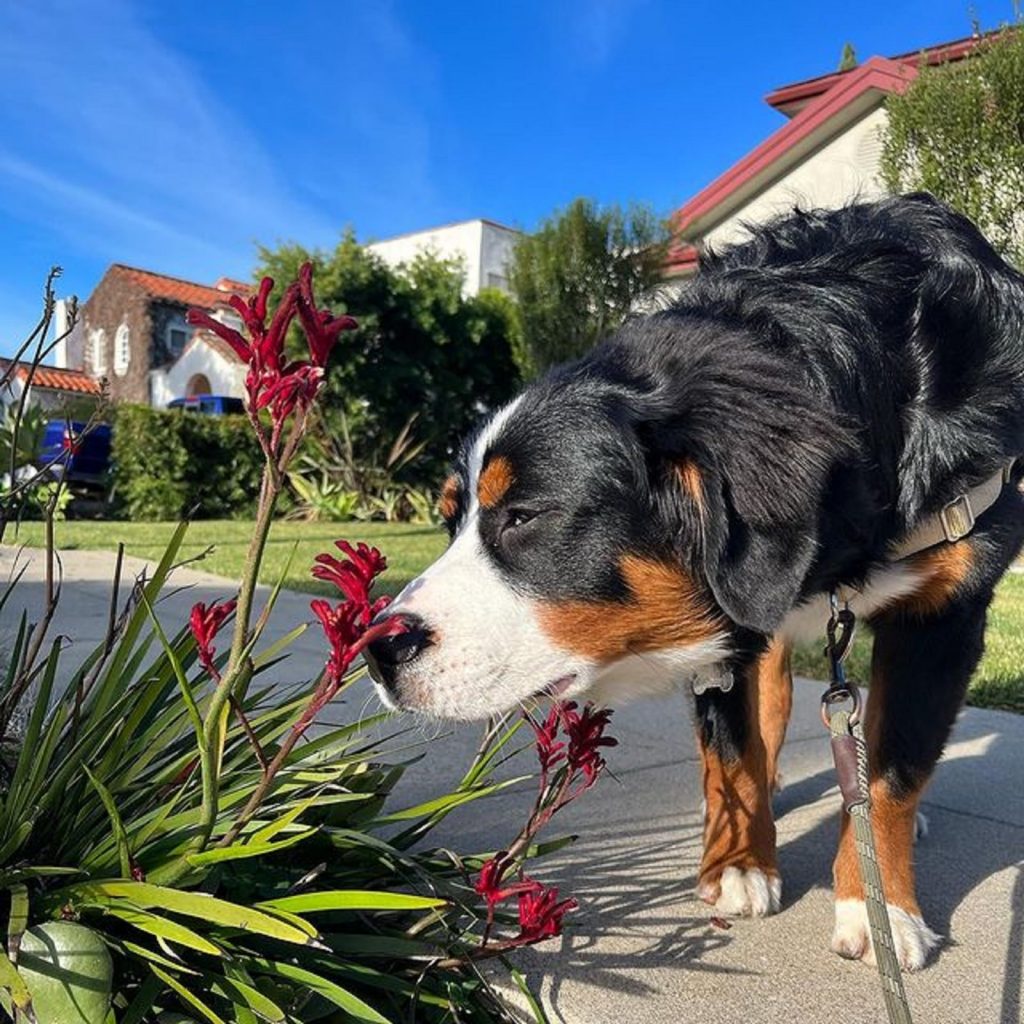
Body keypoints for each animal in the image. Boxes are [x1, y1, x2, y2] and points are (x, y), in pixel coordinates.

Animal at [366, 195, 1024, 970]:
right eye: (450, 521)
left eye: (524, 516)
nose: (377, 649)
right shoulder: (733, 621)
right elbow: (732, 748)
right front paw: (737, 863)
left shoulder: (946, 615)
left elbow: (896, 771)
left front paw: (882, 907)